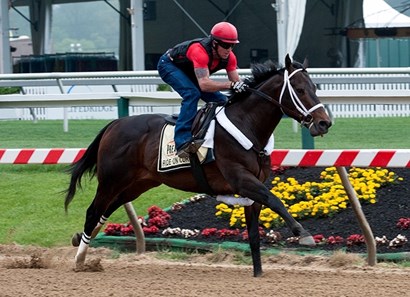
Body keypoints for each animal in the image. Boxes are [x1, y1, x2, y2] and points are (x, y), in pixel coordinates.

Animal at [65, 54, 334, 276]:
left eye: (315, 87)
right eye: (299, 89)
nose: (324, 123)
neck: (247, 124)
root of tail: (114, 124)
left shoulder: (252, 188)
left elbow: (255, 232)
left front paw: (258, 273)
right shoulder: (242, 180)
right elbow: (275, 200)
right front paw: (303, 234)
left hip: (140, 183)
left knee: (108, 208)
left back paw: (81, 240)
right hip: (112, 179)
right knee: (93, 210)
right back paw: (80, 260)